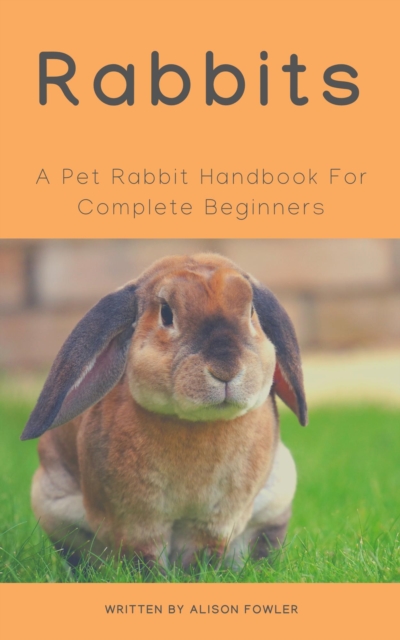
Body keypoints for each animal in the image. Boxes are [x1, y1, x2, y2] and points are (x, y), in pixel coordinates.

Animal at [21, 253, 307, 569]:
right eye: (166, 314)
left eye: (251, 310)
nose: (226, 369)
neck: (196, 424)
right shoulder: (137, 522)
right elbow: (145, 557)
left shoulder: (213, 522)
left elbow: (201, 555)